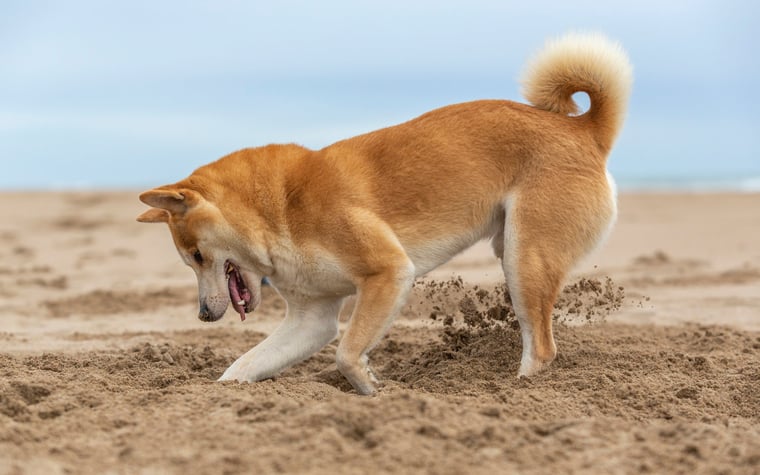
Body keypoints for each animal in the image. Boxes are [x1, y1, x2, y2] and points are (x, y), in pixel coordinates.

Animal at [138, 33, 636, 396]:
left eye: (197, 256)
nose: (204, 315)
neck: (279, 206)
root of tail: (583, 130)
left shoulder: (389, 273)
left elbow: (346, 354)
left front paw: (372, 388)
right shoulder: (311, 320)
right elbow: (241, 367)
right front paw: (218, 394)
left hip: (524, 259)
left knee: (543, 349)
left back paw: (515, 392)